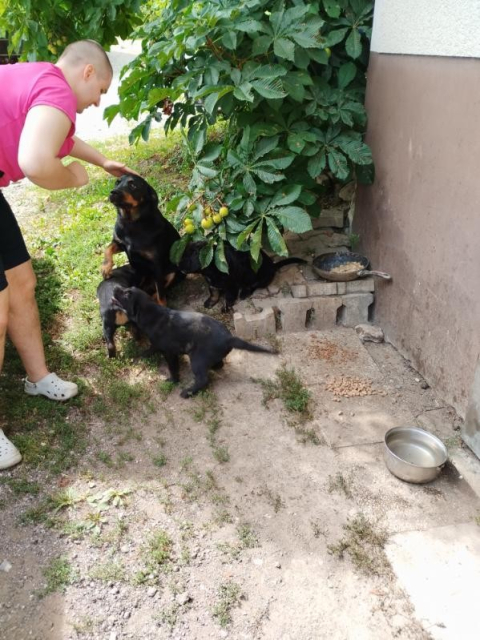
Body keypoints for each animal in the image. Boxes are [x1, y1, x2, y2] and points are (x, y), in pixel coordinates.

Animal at [102, 174, 183, 306]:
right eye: (117, 182)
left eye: (133, 185)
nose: (113, 192)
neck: (131, 222)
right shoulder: (120, 244)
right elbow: (107, 248)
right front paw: (105, 267)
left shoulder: (156, 265)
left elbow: (161, 294)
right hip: (139, 273)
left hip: (172, 273)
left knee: (161, 290)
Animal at [112, 284, 278, 396]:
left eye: (127, 294)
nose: (115, 287)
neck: (151, 314)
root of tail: (229, 338)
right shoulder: (156, 345)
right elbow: (147, 351)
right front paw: (136, 358)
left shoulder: (169, 352)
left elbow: (173, 368)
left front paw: (173, 381)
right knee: (219, 364)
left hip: (197, 359)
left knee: (203, 379)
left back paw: (188, 392)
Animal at [178, 240, 306, 310]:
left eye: (192, 254)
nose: (178, 266)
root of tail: (273, 266)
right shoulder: (212, 283)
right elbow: (214, 293)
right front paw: (210, 302)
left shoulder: (231, 285)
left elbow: (229, 297)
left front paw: (226, 308)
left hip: (258, 279)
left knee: (252, 286)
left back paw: (244, 293)